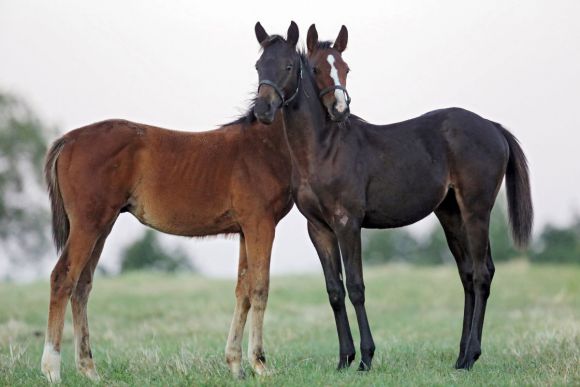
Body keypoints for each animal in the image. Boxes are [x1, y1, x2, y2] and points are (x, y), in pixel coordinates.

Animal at [40, 113, 292, 384]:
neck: (264, 143)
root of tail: (68, 140)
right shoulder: (261, 224)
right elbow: (259, 289)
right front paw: (260, 364)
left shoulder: (245, 230)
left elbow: (243, 290)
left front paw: (236, 365)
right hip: (88, 226)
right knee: (63, 278)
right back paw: (52, 369)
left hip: (101, 228)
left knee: (82, 286)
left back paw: (89, 369)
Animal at [251, 23, 532, 372]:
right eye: (259, 66)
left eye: (344, 68)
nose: (263, 109)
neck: (325, 150)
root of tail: (493, 127)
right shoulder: (318, 228)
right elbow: (334, 290)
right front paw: (344, 359)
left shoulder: (348, 222)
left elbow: (356, 287)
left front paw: (366, 358)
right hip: (451, 214)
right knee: (467, 275)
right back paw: (460, 357)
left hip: (476, 210)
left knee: (482, 274)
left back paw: (471, 357)